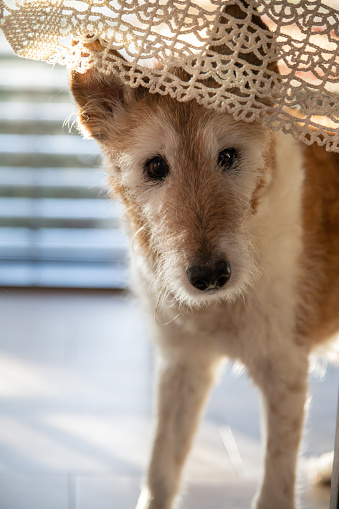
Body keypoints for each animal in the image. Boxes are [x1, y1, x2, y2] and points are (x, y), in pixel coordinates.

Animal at [69, 1, 339, 506]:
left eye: (229, 156)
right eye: (155, 166)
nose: (210, 276)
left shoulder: (284, 373)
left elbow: (274, 489)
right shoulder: (182, 362)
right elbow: (161, 471)